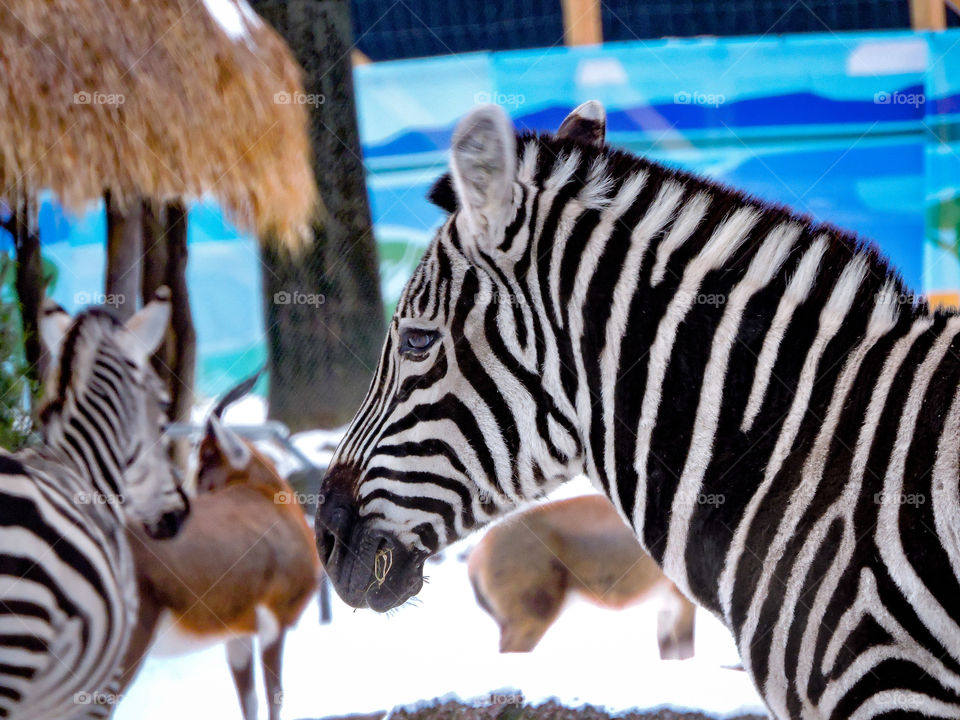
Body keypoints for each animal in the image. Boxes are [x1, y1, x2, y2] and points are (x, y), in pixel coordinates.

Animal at [116, 376, 318, 720]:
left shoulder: (238, 637)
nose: (173, 515)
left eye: (203, 462)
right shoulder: (274, 628)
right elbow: (273, 699)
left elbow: (249, 702)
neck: (266, 497)